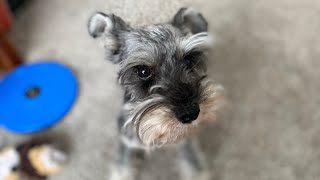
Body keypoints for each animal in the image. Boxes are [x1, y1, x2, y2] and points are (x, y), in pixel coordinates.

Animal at [87, 7, 222, 180]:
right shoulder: (127, 142)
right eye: (143, 71)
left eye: (189, 61)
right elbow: (124, 167)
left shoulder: (186, 140)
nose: (190, 114)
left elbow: (193, 163)